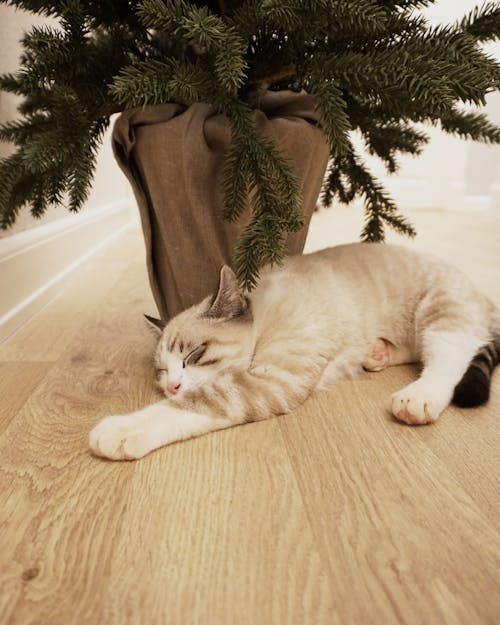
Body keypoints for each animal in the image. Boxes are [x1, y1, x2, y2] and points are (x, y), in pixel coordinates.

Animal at [89, 241, 500, 460]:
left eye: (194, 356)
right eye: (161, 370)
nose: (171, 384)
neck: (264, 316)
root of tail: (481, 293)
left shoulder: (267, 381)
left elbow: (191, 404)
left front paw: (119, 430)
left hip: (439, 312)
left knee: (450, 356)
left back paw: (418, 397)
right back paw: (376, 354)